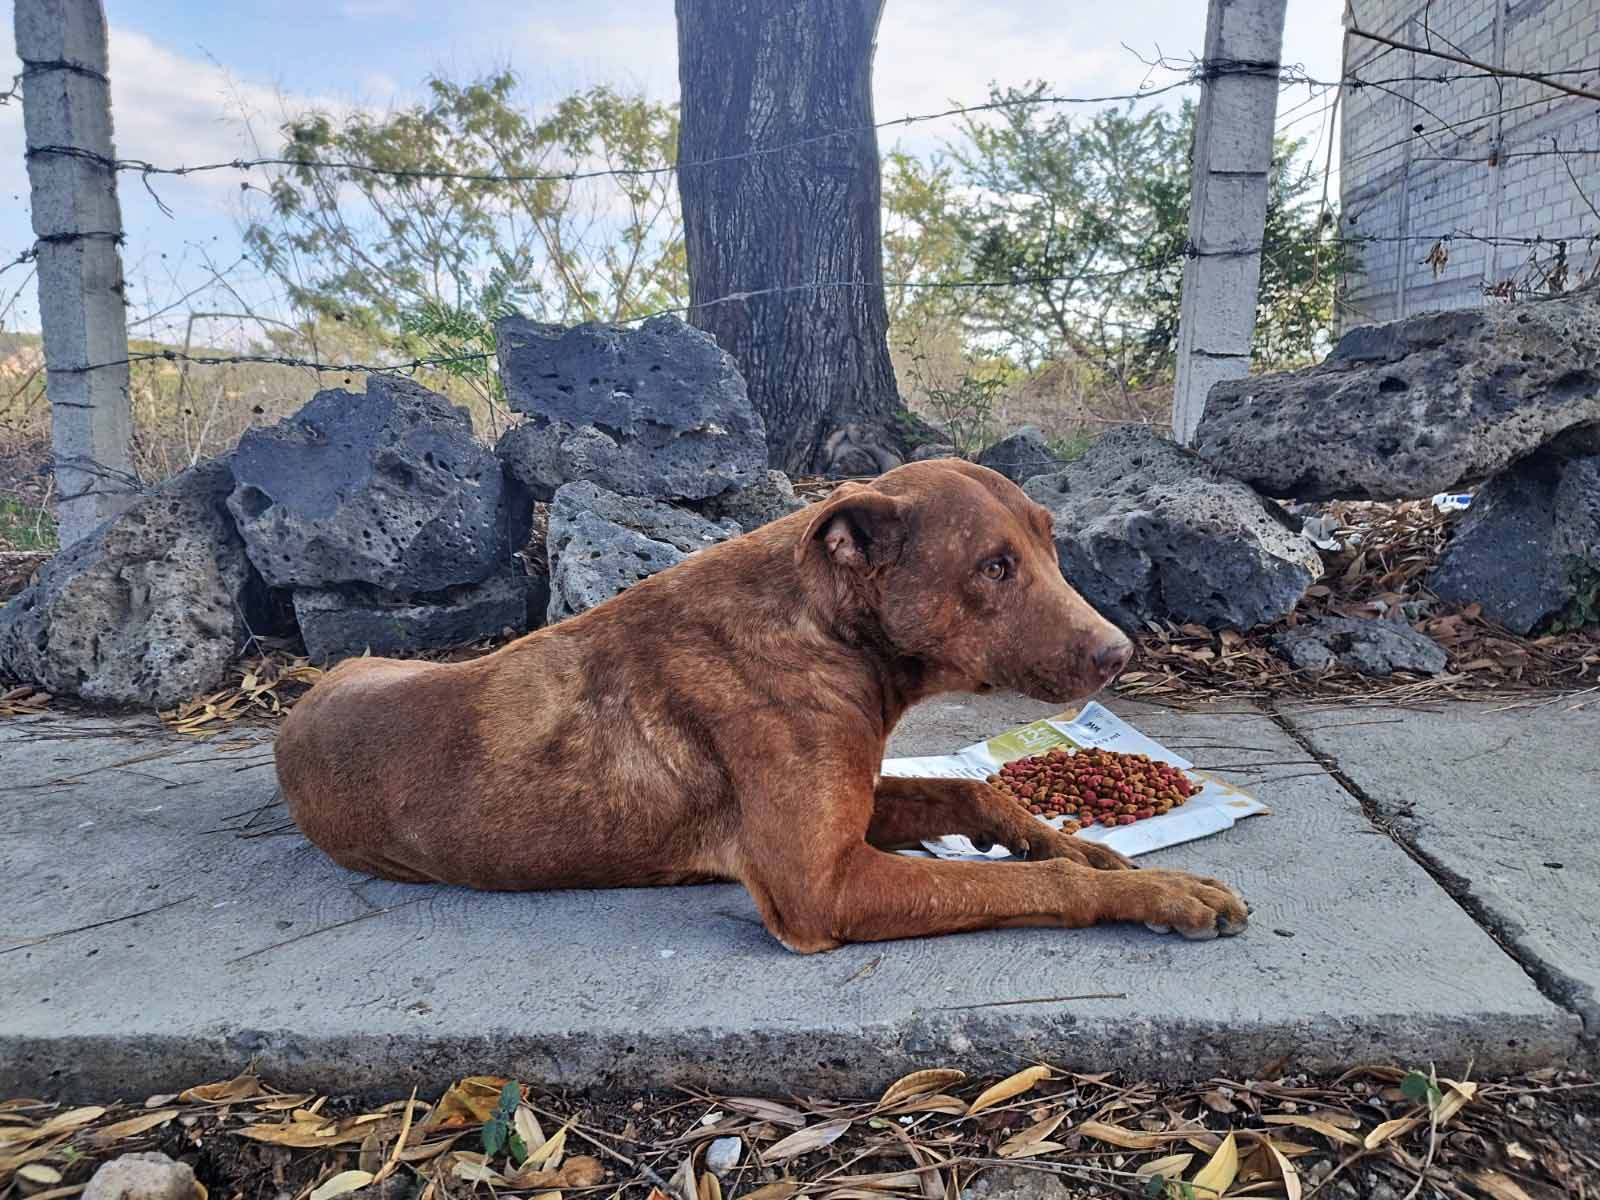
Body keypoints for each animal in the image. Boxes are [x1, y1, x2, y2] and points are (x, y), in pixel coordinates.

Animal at [278, 454, 1248, 953]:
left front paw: (1094, 851)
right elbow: (1032, 883)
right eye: (994, 566)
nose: (1120, 653)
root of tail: (302, 700)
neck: (823, 631)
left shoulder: (858, 801)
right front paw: (1153, 890)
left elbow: (977, 793)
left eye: (1050, 543)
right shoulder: (824, 886)